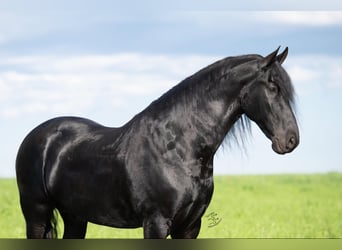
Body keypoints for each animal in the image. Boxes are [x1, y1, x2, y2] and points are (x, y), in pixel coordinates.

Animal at [16, 47, 300, 238]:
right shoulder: (156, 222)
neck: (176, 148)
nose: (291, 140)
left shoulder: (190, 226)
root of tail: (36, 137)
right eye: (273, 87)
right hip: (36, 213)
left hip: (75, 216)